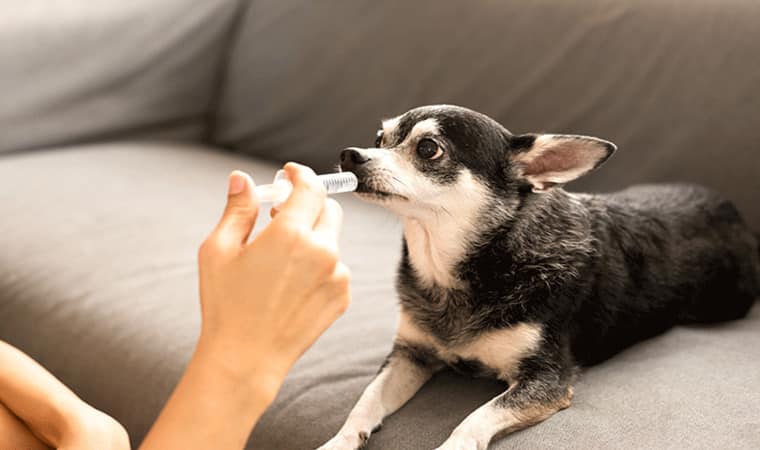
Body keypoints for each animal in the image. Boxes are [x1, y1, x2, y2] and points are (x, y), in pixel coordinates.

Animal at [316, 103, 760, 448]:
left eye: (428, 148)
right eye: (379, 139)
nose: (350, 154)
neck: (462, 271)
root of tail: (735, 212)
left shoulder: (546, 380)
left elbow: (474, 419)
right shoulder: (411, 354)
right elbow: (366, 401)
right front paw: (338, 441)